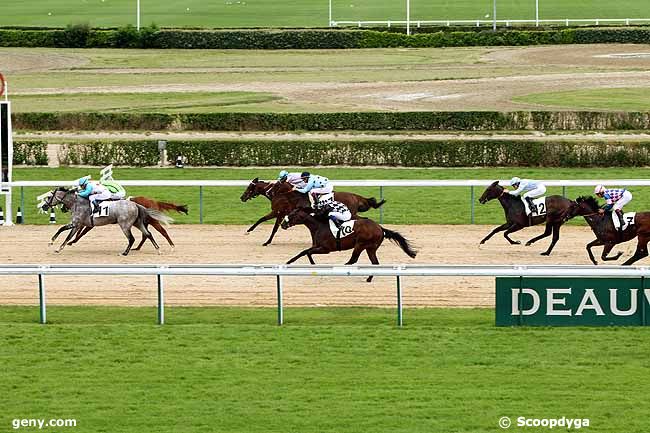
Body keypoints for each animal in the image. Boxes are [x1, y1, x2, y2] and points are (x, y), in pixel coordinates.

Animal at [242, 176, 384, 245]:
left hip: (349, 214)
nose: (242, 197)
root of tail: (355, 196)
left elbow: (268, 224)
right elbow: (269, 223)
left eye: (249, 187)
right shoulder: (280, 213)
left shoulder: (278, 212)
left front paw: (255, 235)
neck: (282, 194)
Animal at [278, 207, 416, 282]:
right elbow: (304, 252)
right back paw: (369, 278)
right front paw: (289, 262)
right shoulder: (317, 246)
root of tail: (380, 228)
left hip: (360, 244)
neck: (319, 225)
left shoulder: (326, 249)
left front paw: (313, 265)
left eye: (291, 215)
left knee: (353, 260)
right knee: (375, 263)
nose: (282, 224)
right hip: (370, 248)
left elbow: (308, 252)